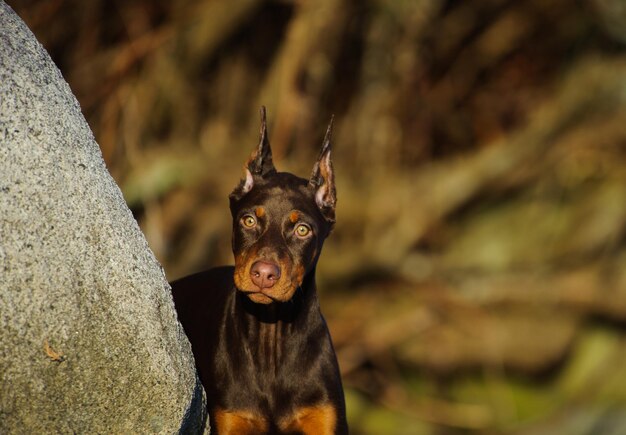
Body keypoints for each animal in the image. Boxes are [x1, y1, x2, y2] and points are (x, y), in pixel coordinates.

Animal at [171, 107, 346, 434]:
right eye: (249, 220)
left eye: (303, 230)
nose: (264, 274)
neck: (271, 336)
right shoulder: (232, 420)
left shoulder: (324, 420)